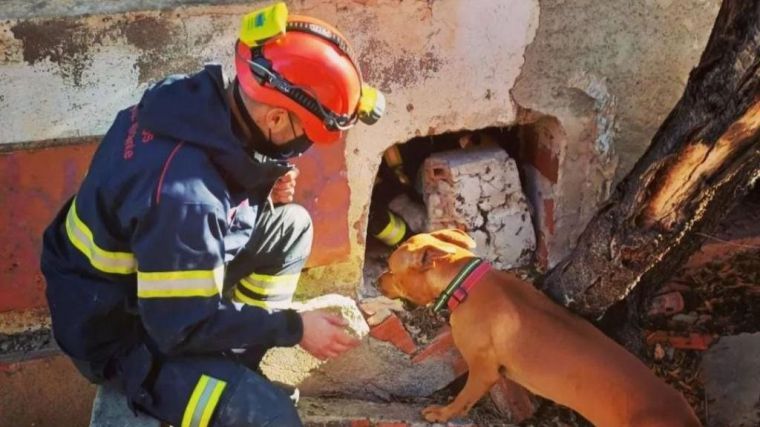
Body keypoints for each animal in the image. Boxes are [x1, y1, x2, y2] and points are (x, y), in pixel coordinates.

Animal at [380, 231, 700, 427]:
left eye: (391, 270)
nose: (378, 279)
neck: (466, 284)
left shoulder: (483, 371)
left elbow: (463, 399)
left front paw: (442, 413)